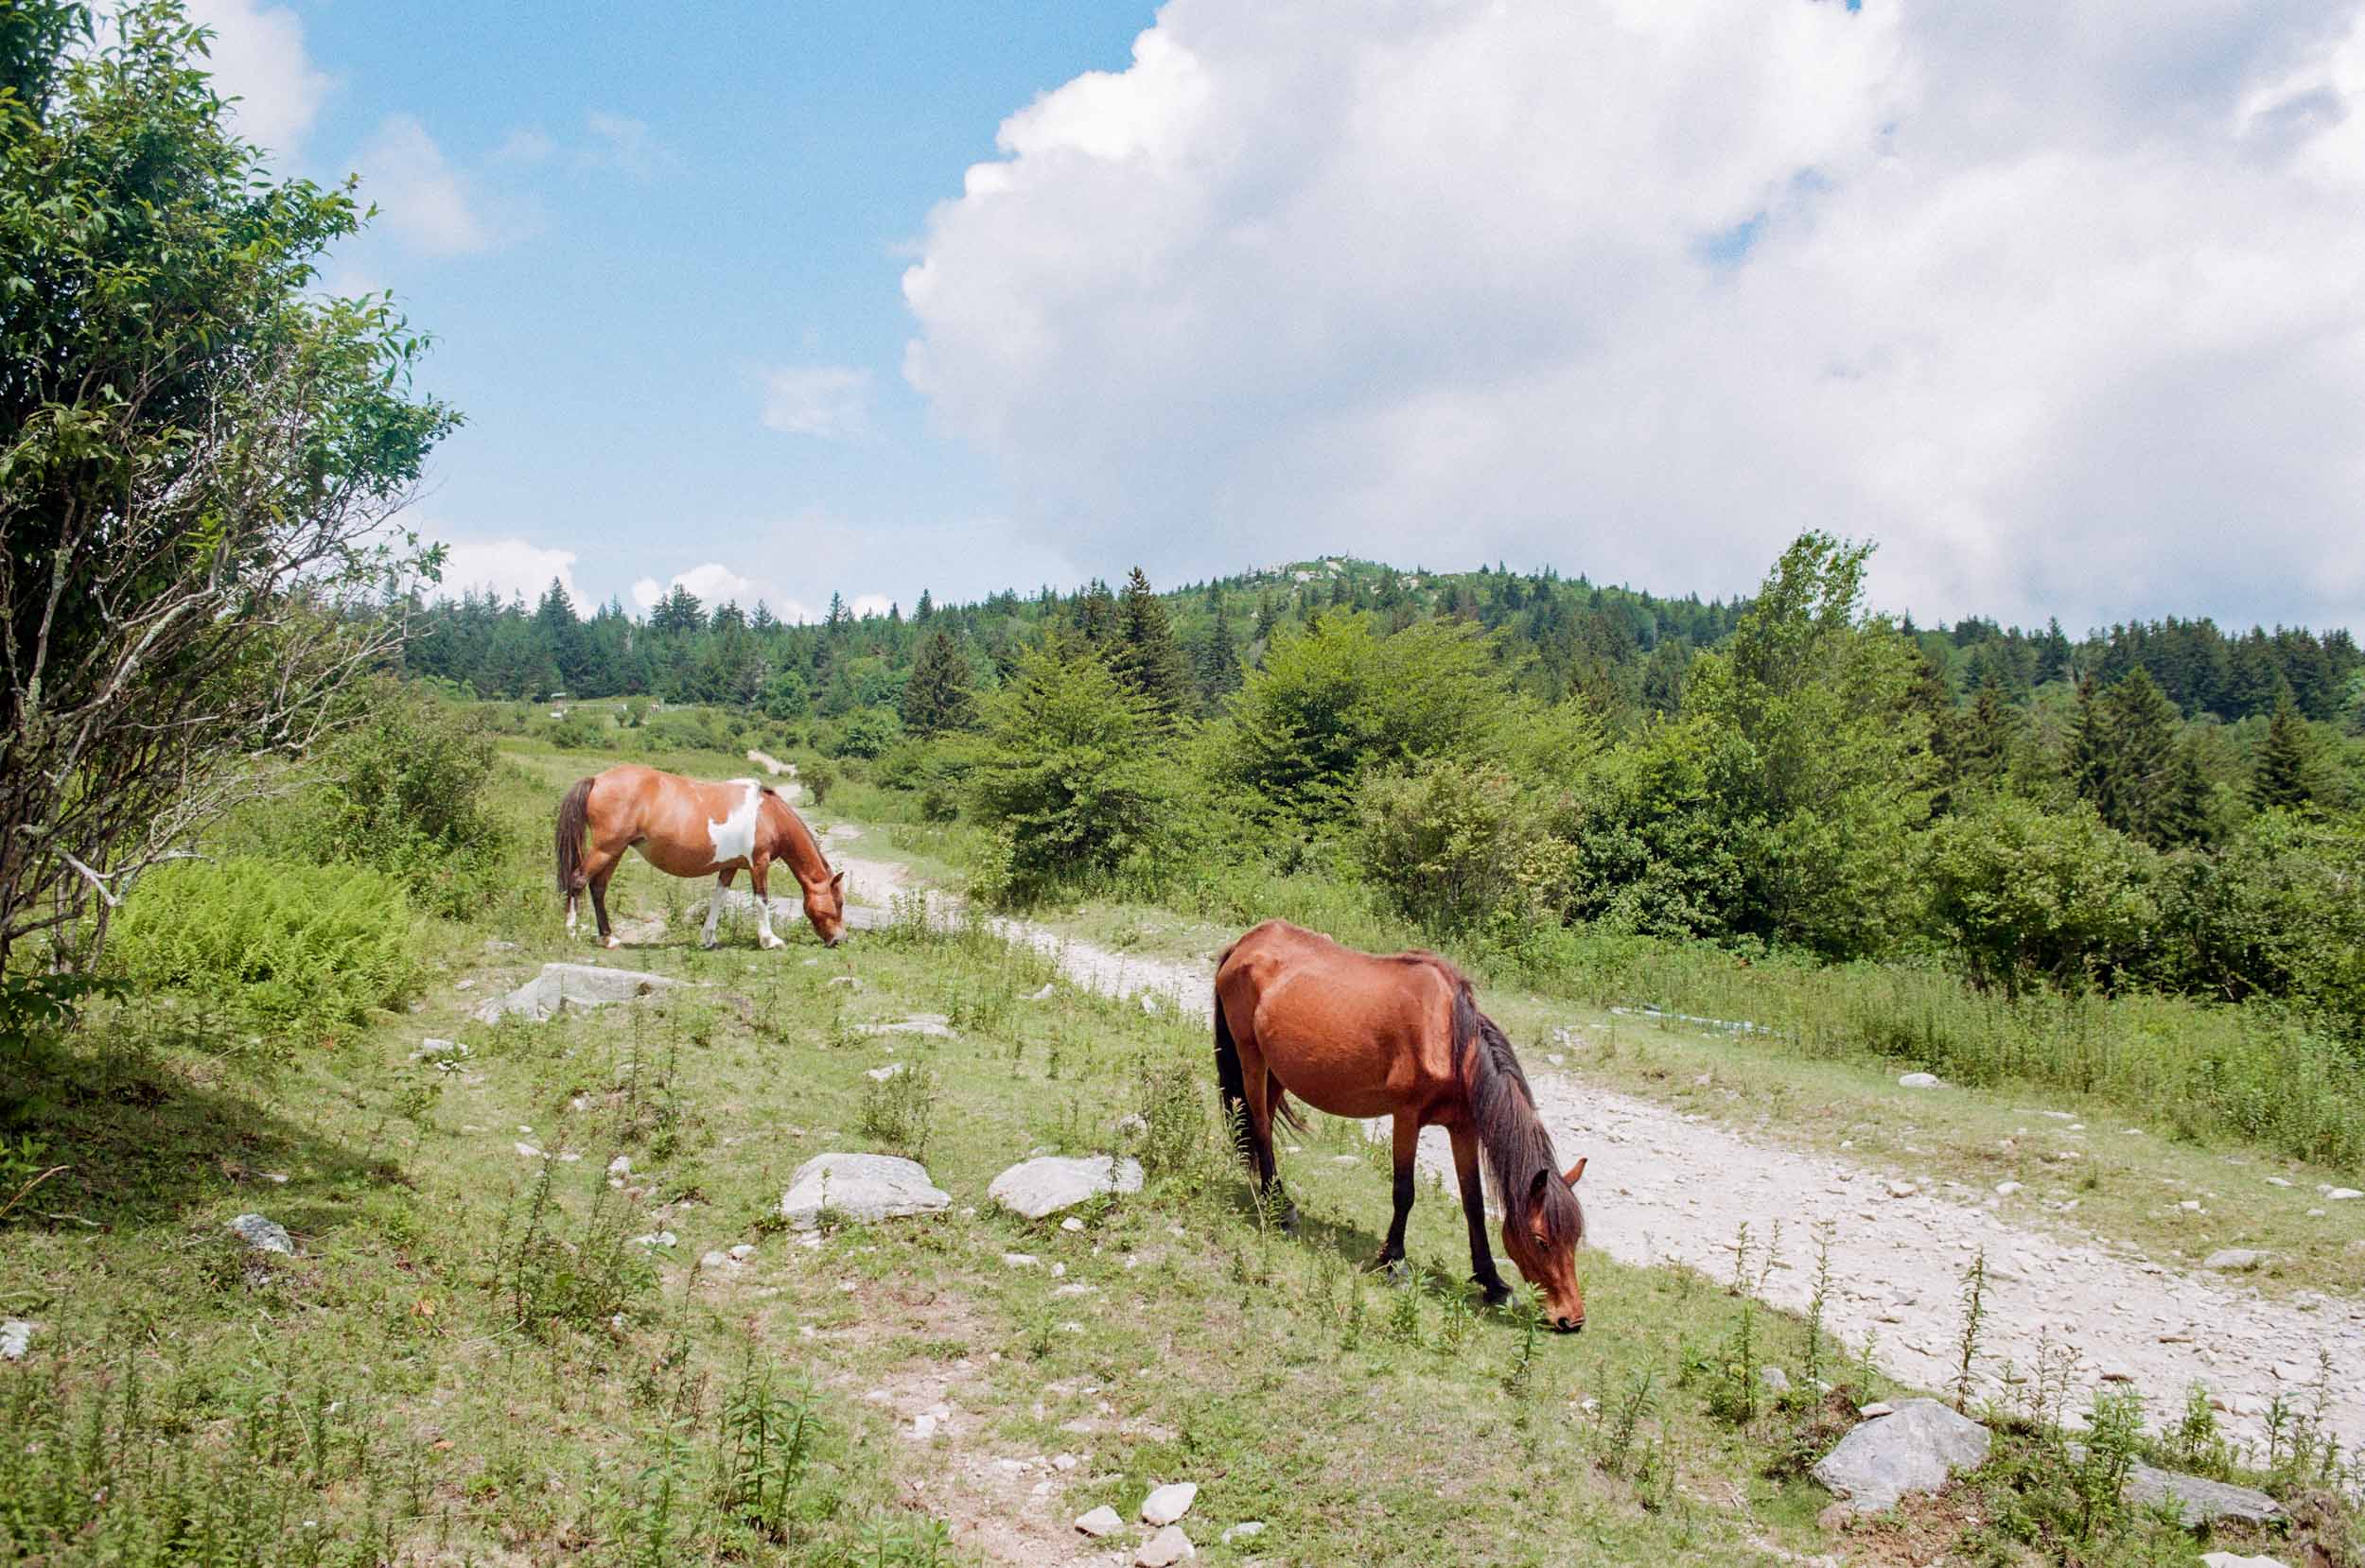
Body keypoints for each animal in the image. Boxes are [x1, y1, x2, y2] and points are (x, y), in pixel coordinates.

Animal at [554, 765, 847, 950]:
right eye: (839, 903)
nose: (840, 940)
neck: (769, 815)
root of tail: (597, 779)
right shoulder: (759, 864)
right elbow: (761, 900)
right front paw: (769, 940)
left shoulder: (730, 867)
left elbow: (718, 898)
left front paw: (708, 938)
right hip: (606, 847)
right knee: (578, 880)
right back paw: (571, 932)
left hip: (615, 850)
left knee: (598, 888)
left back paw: (609, 939)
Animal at [1212, 918, 1589, 1331]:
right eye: (1541, 1240)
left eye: (1575, 1238)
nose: (1572, 1319)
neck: (1449, 1037)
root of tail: (1245, 944)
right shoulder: (1407, 1118)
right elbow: (1404, 1192)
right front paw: (1394, 1261)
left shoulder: (1463, 1128)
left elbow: (1473, 1203)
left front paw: (1493, 1282)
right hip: (1252, 1057)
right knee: (1261, 1125)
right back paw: (1280, 1207)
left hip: (1278, 1069)